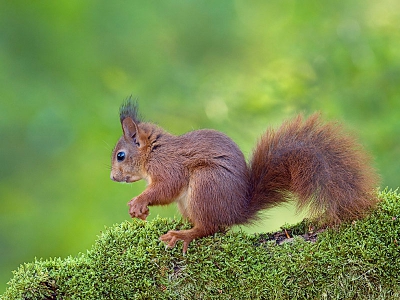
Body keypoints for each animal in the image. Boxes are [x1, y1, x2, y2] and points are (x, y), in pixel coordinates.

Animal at [109, 99, 378, 252]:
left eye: (120, 156)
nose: (112, 178)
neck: (154, 151)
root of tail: (236, 210)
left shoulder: (169, 166)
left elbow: (166, 188)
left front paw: (138, 202)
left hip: (205, 184)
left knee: (209, 227)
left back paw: (184, 234)